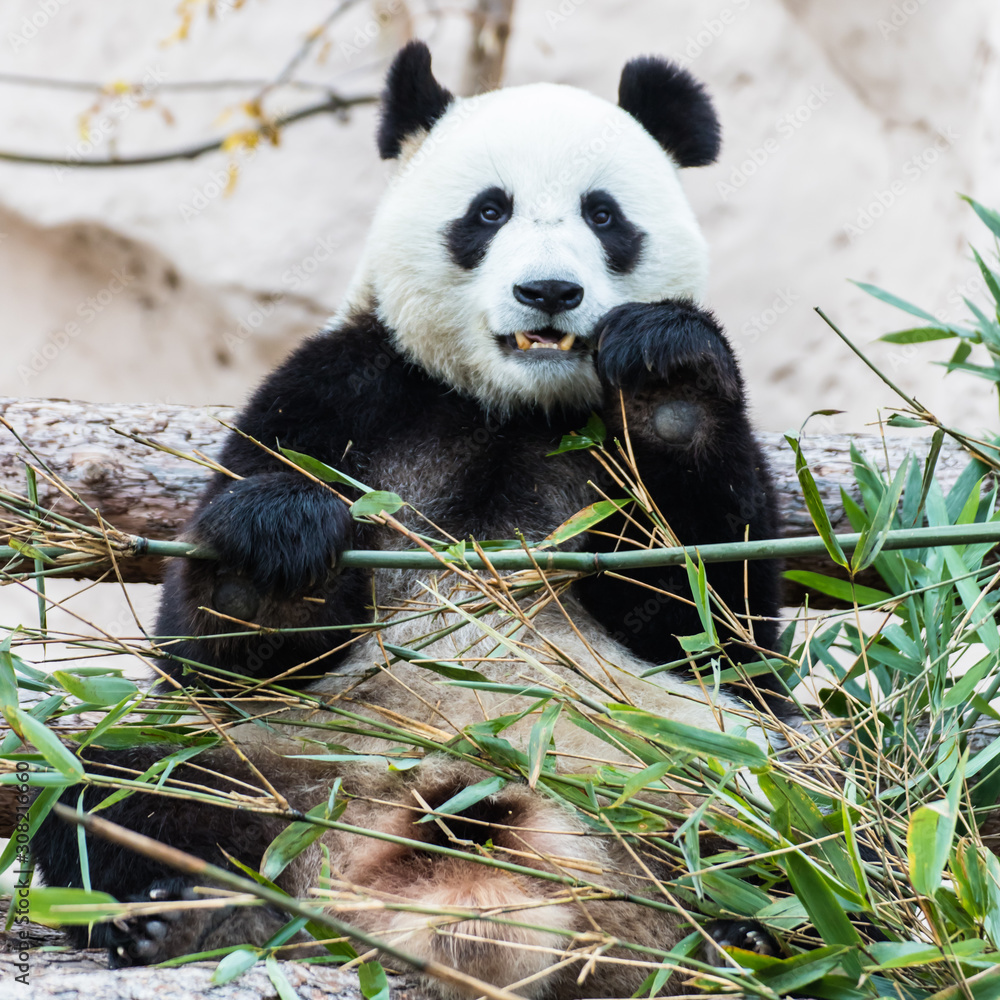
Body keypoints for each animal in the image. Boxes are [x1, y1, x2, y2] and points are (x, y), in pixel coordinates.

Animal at [33, 42, 781, 999]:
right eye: (489, 211)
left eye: (604, 214)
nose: (548, 291)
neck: (511, 405)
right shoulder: (341, 397)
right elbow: (205, 654)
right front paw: (272, 553)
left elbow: (713, 617)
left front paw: (670, 382)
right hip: (281, 756)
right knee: (118, 785)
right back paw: (185, 917)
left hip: (686, 764)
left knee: (822, 811)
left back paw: (748, 934)